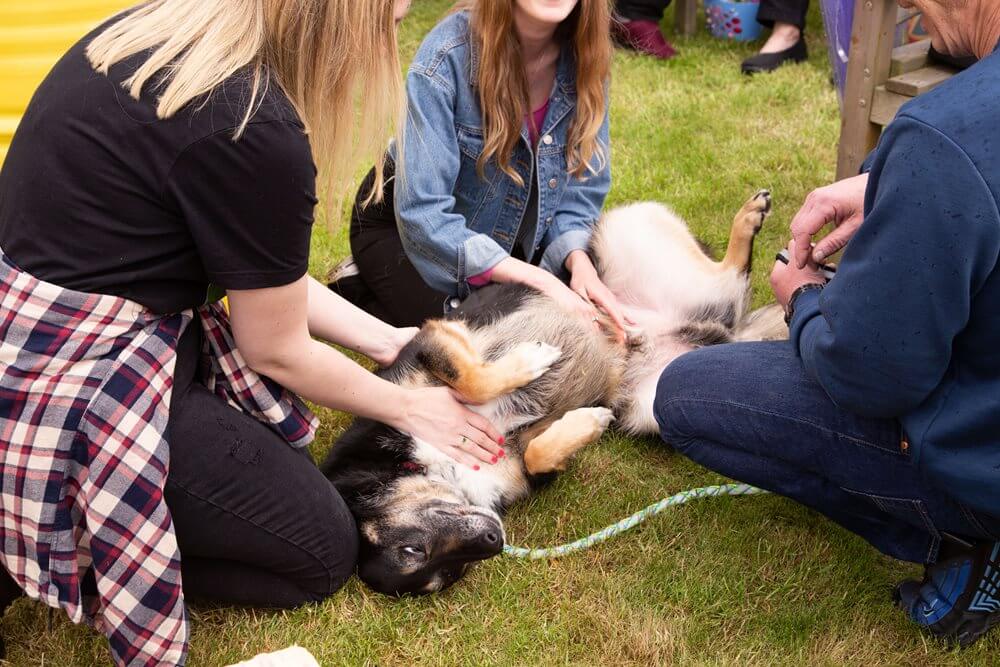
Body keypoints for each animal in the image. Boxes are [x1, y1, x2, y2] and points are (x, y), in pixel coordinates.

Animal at [324, 189, 784, 596]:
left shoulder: (432, 341)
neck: (429, 466)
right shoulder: (524, 468)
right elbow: (536, 453)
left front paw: (531, 361)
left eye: (412, 550)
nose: (496, 540)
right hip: (655, 403)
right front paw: (587, 423)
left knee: (729, 272)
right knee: (732, 286)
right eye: (446, 574)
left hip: (628, 226)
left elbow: (471, 377)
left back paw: (751, 221)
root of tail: (723, 332)